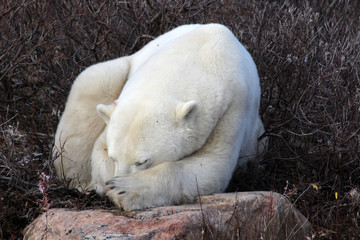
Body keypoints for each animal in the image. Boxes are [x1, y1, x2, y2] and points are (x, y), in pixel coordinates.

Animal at [54, 22, 268, 210]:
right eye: (113, 156)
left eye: (142, 161)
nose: (118, 177)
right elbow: (98, 150)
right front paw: (107, 184)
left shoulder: (232, 108)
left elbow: (213, 166)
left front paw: (123, 188)